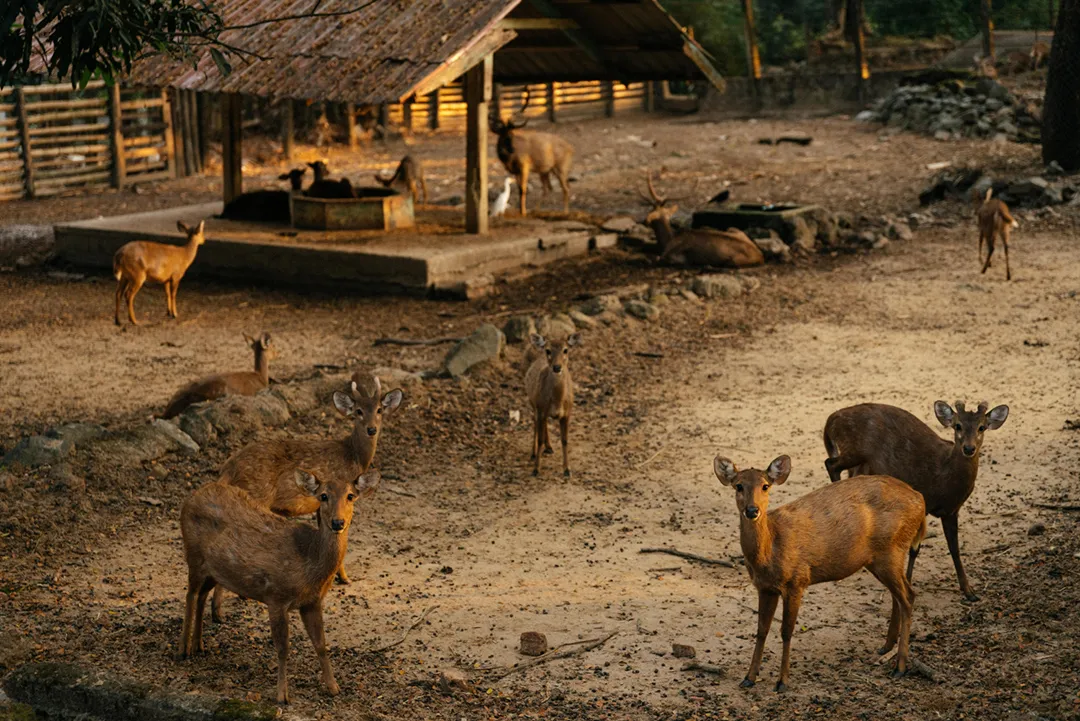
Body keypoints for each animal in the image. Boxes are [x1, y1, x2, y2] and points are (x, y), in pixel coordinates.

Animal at [179, 468, 380, 703]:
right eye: (323, 496)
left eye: (350, 495)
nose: (337, 522)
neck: (309, 564)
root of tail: (193, 496)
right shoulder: (276, 596)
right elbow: (283, 648)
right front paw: (282, 695)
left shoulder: (312, 602)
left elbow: (321, 644)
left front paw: (333, 687)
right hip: (193, 553)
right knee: (190, 594)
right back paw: (183, 650)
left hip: (215, 570)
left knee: (201, 594)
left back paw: (199, 645)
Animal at [211, 373, 403, 621]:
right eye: (359, 411)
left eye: (379, 409)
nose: (371, 429)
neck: (353, 456)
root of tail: (227, 469)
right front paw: (345, 578)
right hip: (254, 497)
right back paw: (219, 612)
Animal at [525, 333, 579, 477]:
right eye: (548, 351)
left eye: (565, 350)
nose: (557, 367)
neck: (557, 401)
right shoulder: (540, 408)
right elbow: (540, 439)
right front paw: (536, 469)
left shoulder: (567, 413)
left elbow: (565, 440)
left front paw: (567, 469)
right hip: (533, 403)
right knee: (535, 423)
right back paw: (533, 453)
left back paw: (549, 448)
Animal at [714, 455, 926, 690]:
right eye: (739, 486)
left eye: (765, 486)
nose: (752, 511)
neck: (770, 552)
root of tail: (920, 500)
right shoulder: (765, 587)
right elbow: (761, 630)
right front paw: (749, 678)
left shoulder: (797, 581)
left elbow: (786, 631)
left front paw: (782, 682)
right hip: (882, 558)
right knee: (898, 596)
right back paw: (886, 647)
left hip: (891, 551)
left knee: (908, 596)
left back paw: (900, 667)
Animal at [823, 400, 1010, 601]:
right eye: (958, 425)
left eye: (981, 427)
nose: (969, 448)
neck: (946, 478)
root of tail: (832, 418)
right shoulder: (924, 500)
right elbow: (915, 548)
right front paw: (909, 580)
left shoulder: (952, 510)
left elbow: (954, 549)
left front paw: (969, 592)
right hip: (855, 450)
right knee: (830, 464)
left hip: (863, 463)